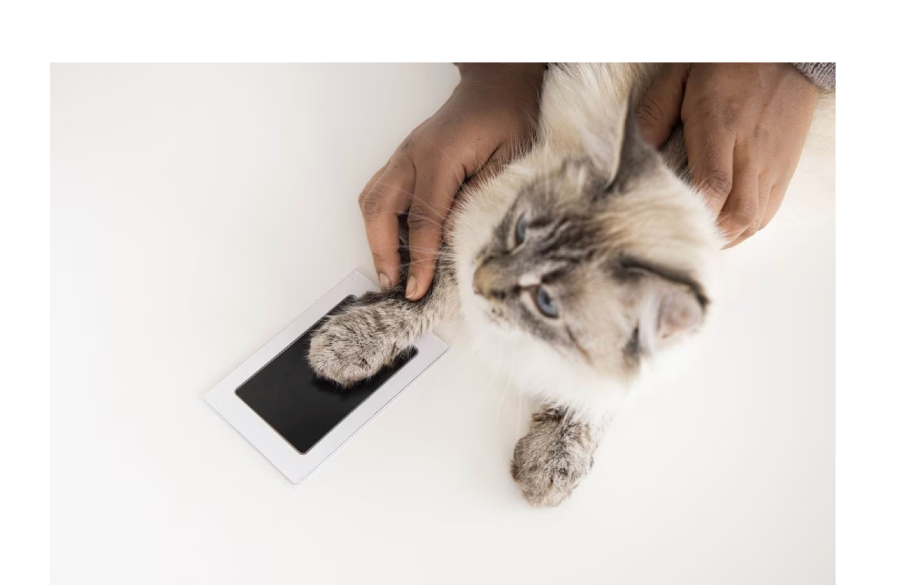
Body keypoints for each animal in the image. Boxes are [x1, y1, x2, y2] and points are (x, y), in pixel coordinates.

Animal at [306, 61, 832, 504]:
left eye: (548, 301)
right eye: (520, 231)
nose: (486, 282)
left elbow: (595, 395)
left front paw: (553, 457)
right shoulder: (469, 223)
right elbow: (423, 289)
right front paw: (348, 343)